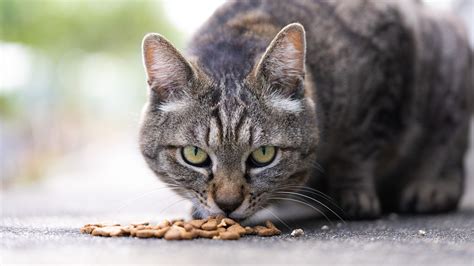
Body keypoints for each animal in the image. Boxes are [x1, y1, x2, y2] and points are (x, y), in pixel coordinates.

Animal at [139, 0, 472, 220]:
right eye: (194, 155)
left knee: (448, 145)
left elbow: (357, 149)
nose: (228, 204)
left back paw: (431, 187)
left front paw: (354, 193)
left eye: (264, 155)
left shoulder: (384, 76)